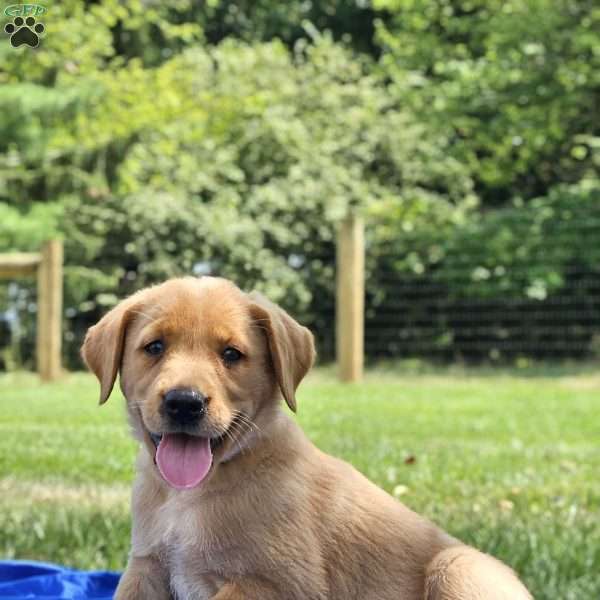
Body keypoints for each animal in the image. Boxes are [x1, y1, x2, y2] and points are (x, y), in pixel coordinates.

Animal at [82, 278, 532, 600]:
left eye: (231, 354)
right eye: (154, 347)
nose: (184, 402)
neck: (189, 495)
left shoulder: (275, 584)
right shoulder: (147, 567)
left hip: (459, 567)